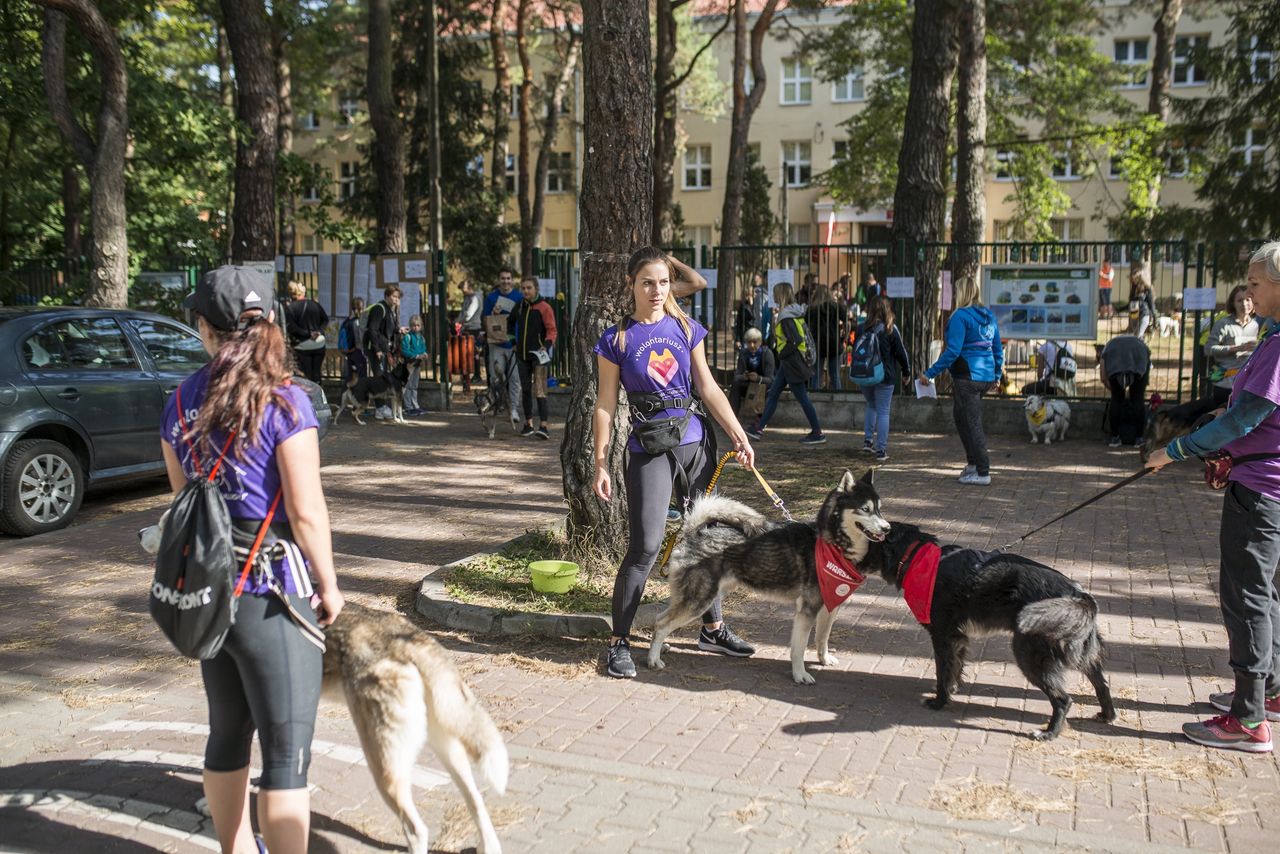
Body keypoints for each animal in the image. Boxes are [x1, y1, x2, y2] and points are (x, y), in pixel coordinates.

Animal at [135, 522, 504, 854]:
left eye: (166, 523)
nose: (139, 533)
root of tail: (409, 638)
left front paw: (210, 804)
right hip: (448, 748)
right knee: (477, 803)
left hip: (384, 764)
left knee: (417, 830)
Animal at [650, 471, 890, 686]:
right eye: (865, 509)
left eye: (879, 509)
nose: (887, 528)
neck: (830, 544)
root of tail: (694, 532)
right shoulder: (807, 611)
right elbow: (799, 648)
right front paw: (800, 674)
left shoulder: (830, 606)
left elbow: (822, 638)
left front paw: (824, 659)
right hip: (698, 601)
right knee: (661, 624)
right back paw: (653, 659)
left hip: (703, 597)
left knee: (659, 619)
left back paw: (661, 648)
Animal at [860, 522, 1121, 742]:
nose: (856, 565)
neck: (917, 558)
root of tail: (1078, 594)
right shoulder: (957, 638)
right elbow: (954, 669)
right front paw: (952, 690)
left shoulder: (943, 637)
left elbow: (942, 672)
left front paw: (940, 701)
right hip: (1083, 655)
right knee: (1102, 684)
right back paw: (1107, 715)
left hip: (1029, 656)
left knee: (1063, 700)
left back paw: (1048, 734)